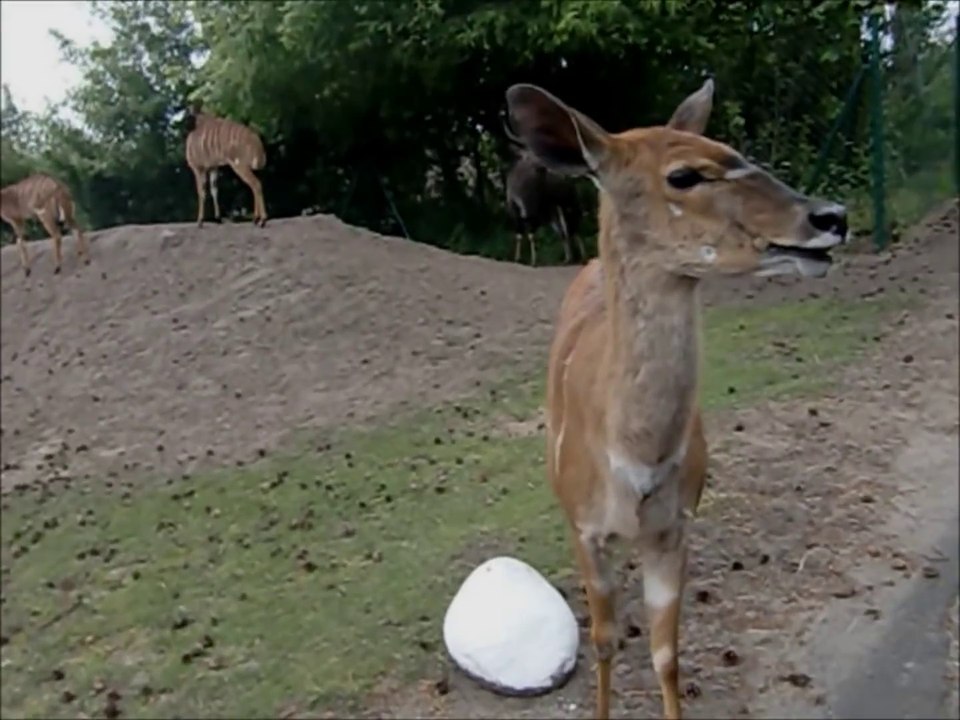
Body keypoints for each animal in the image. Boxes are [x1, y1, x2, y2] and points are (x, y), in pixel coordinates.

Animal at [505, 120, 587, 266]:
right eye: (530, 153)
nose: (545, 165)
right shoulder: (515, 211)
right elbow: (519, 234)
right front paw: (517, 259)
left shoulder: (532, 211)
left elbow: (531, 234)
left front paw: (533, 261)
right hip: (553, 213)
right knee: (563, 231)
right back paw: (567, 259)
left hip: (569, 205)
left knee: (574, 228)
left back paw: (581, 258)